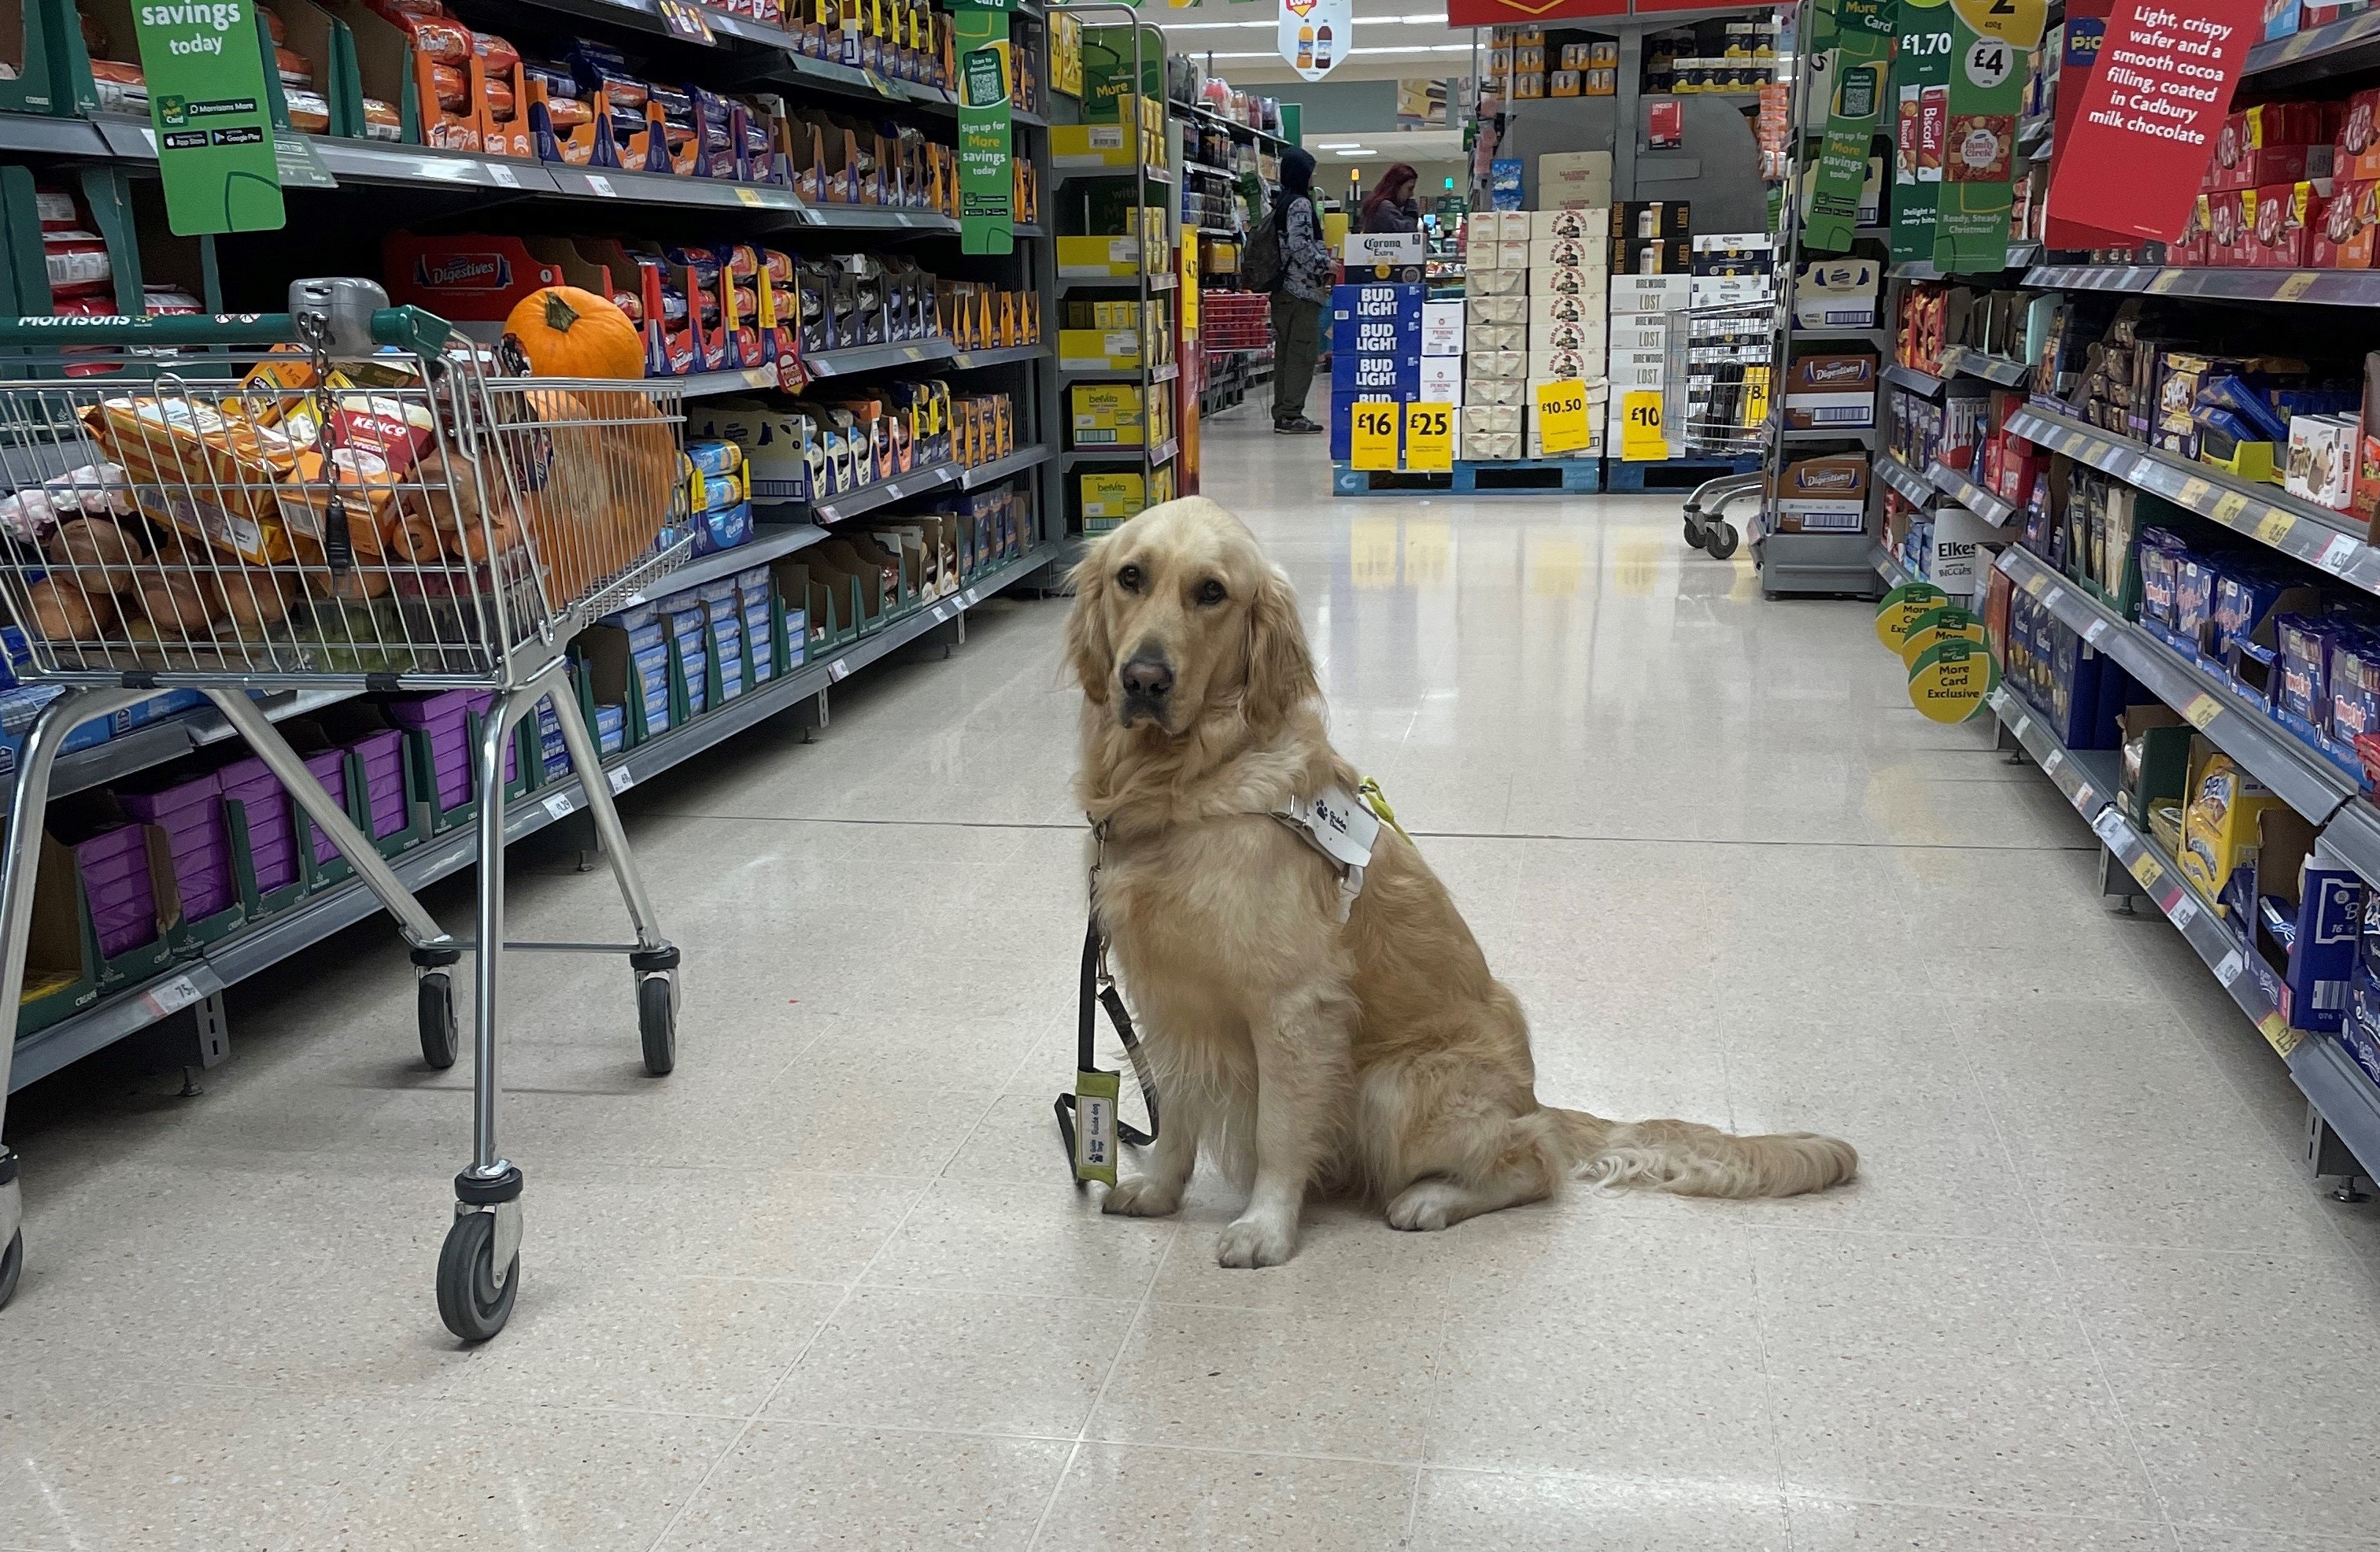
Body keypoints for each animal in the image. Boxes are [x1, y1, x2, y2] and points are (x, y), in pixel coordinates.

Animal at [1066, 495, 1856, 1256]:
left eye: (1212, 592)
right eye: (1131, 576)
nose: (1143, 679)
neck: (1189, 782)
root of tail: (1536, 1099)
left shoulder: (1294, 1008)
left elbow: (1278, 1132)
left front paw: (1266, 1228)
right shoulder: (1168, 999)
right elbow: (1175, 1113)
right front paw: (1160, 1192)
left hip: (1391, 1087)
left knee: (1534, 1160)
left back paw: (1432, 1199)